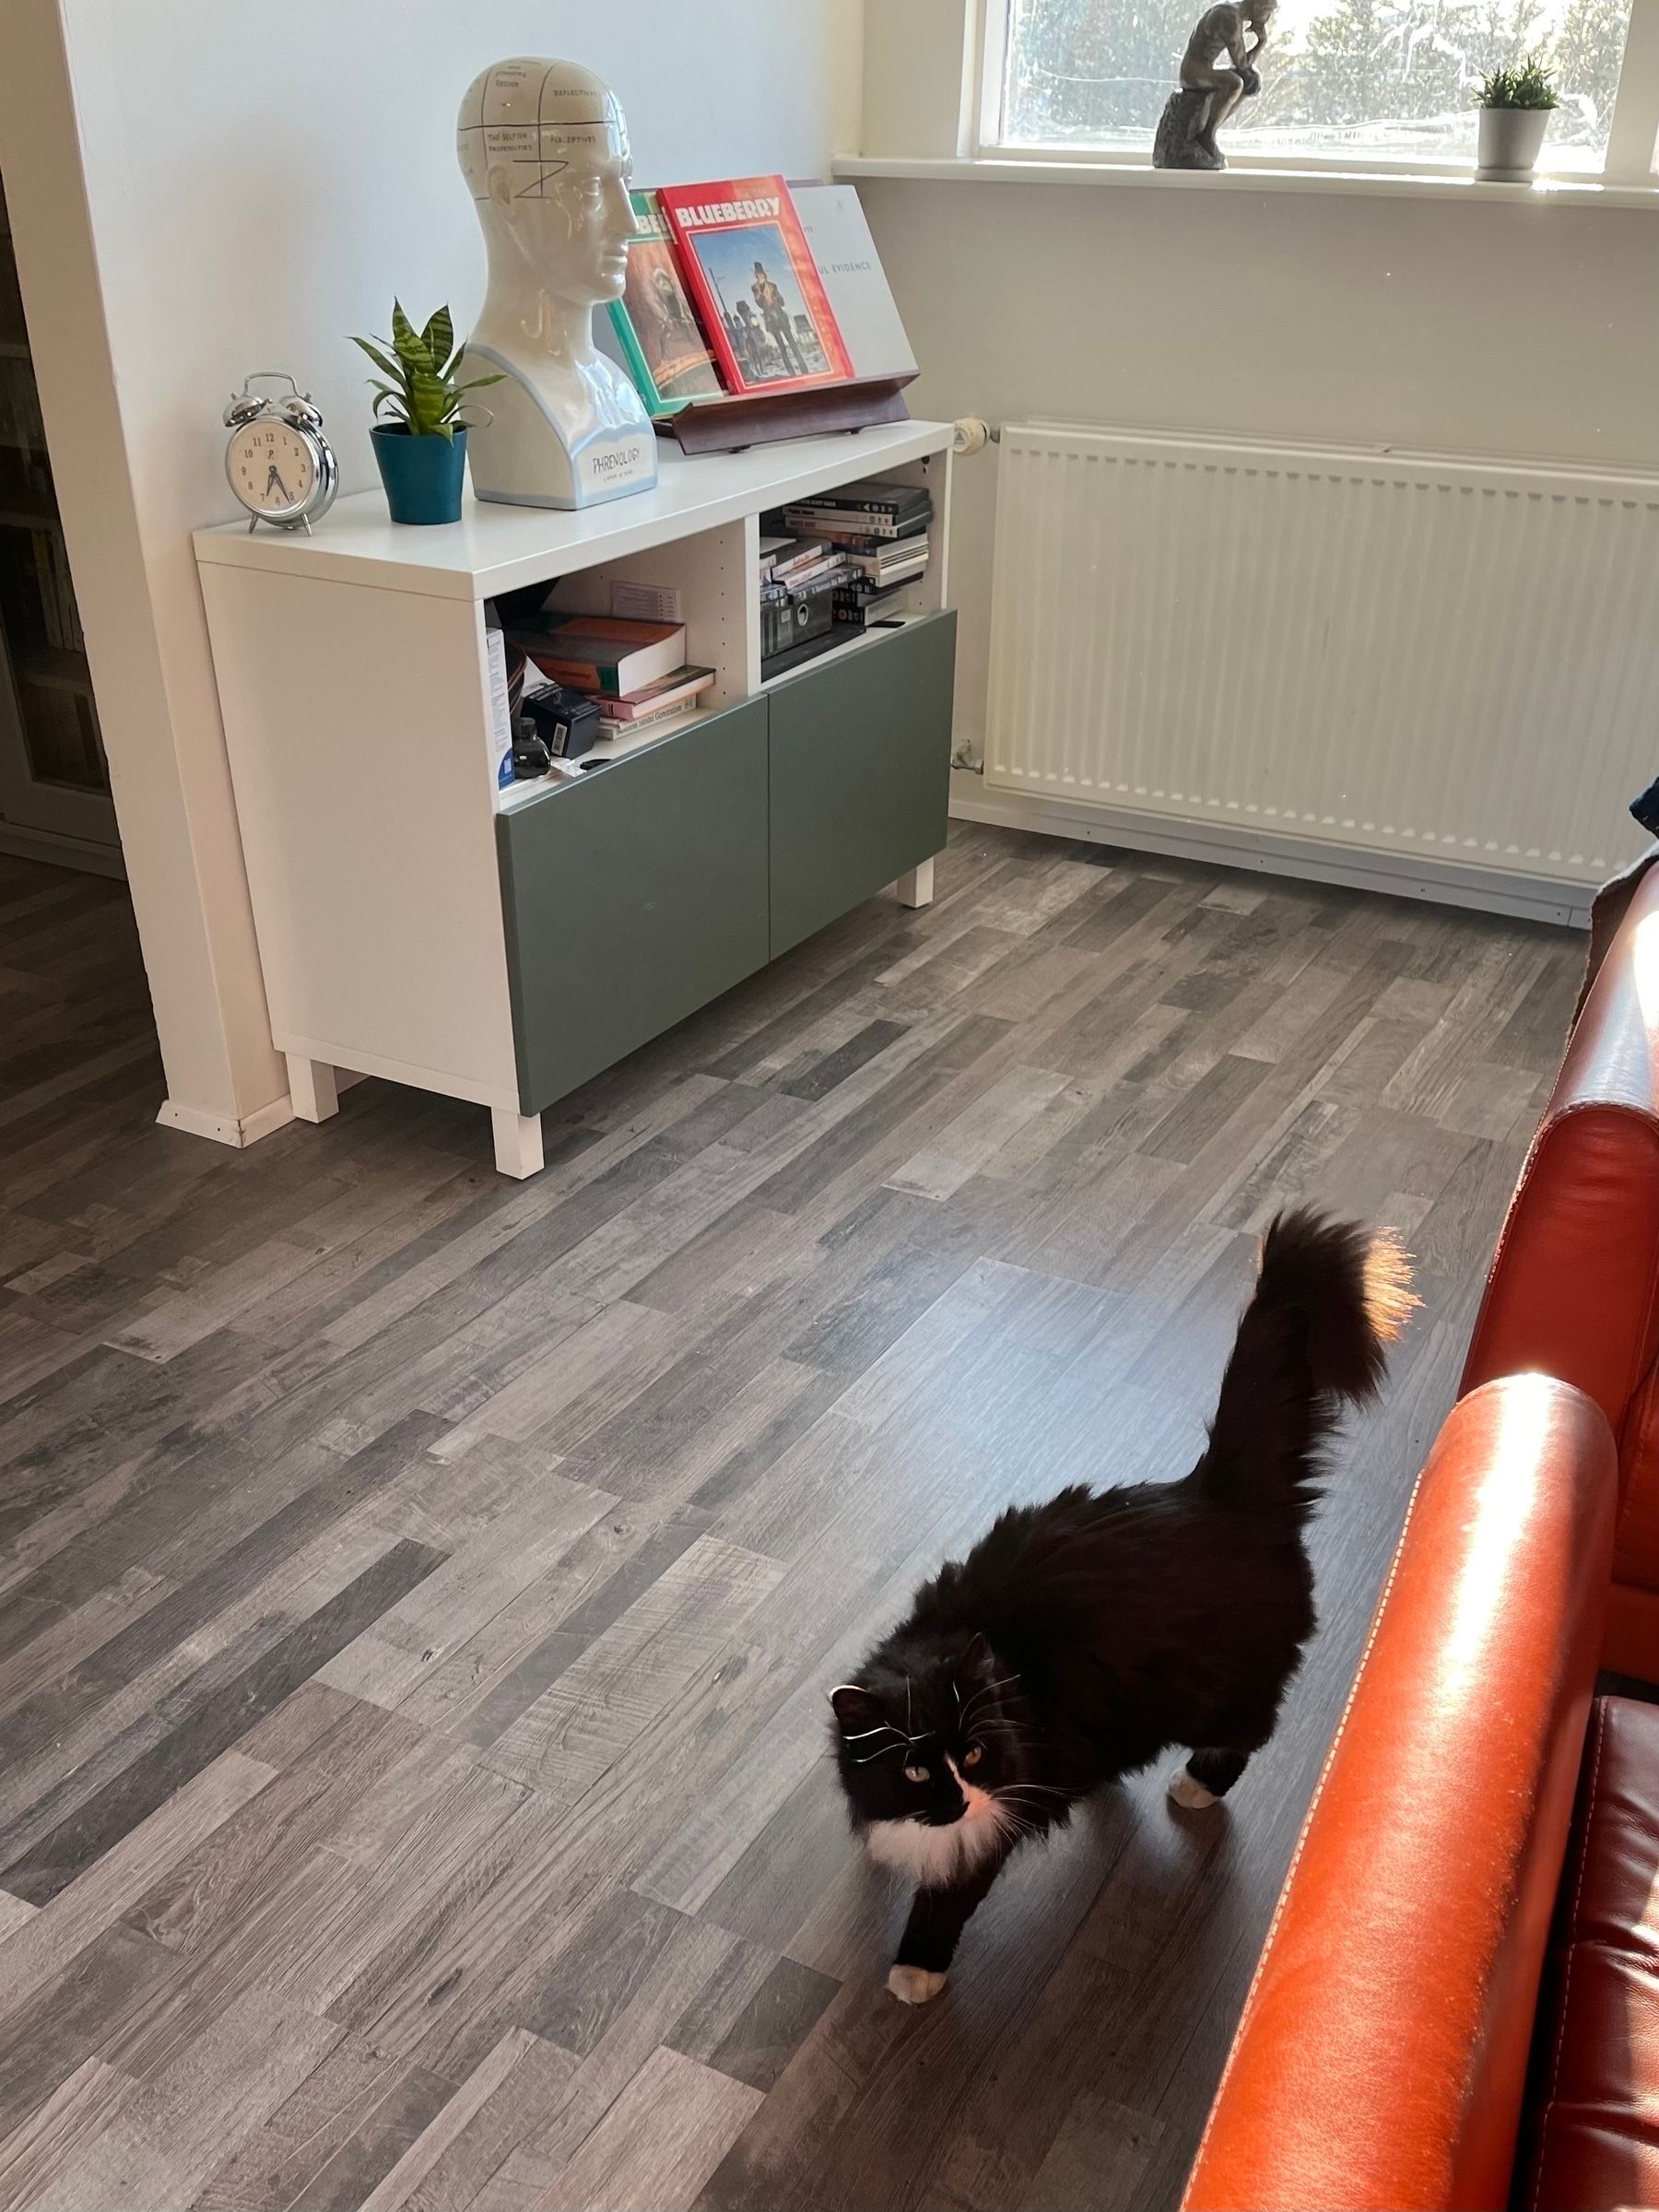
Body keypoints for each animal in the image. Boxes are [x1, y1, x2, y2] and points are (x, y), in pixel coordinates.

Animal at [831, 1212, 1416, 2008]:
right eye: (917, 1771)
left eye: (975, 1755)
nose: (961, 1802)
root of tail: (1213, 1492)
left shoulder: (1001, 1813)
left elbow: (946, 1899)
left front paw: (916, 1969)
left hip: (1216, 1694)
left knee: (1249, 1733)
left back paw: (1195, 1787)